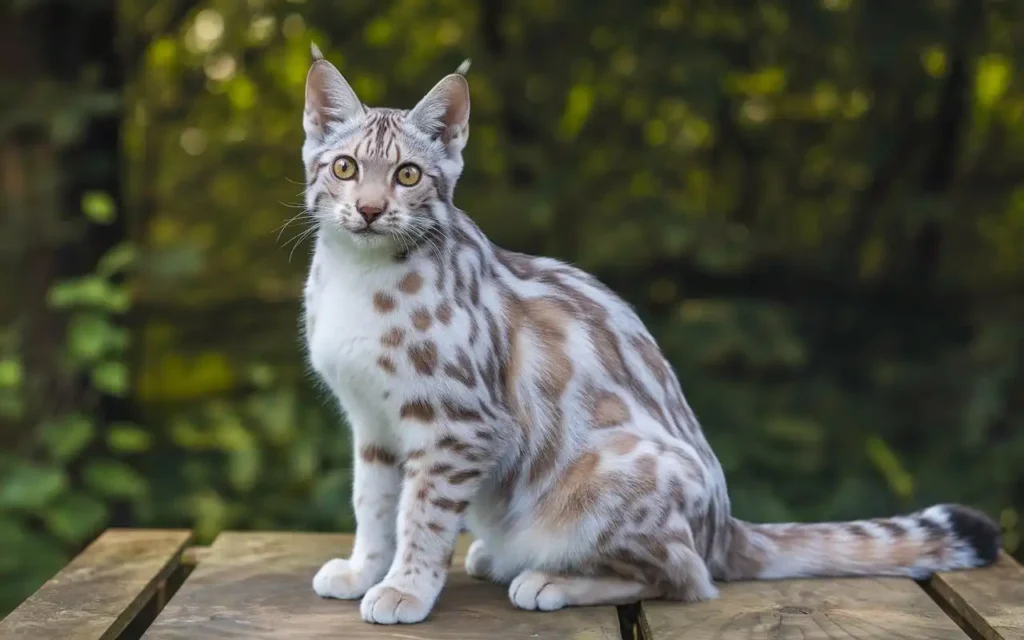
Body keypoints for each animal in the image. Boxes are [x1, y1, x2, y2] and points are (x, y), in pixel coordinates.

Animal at [296, 45, 999, 622]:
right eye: (345, 168)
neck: (358, 274)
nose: (369, 211)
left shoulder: (458, 426)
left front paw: (406, 588)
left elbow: (421, 513)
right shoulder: (373, 423)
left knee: (688, 578)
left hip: (613, 471)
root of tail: (725, 525)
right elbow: (373, 504)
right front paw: (363, 571)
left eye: (408, 175)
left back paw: (553, 578)